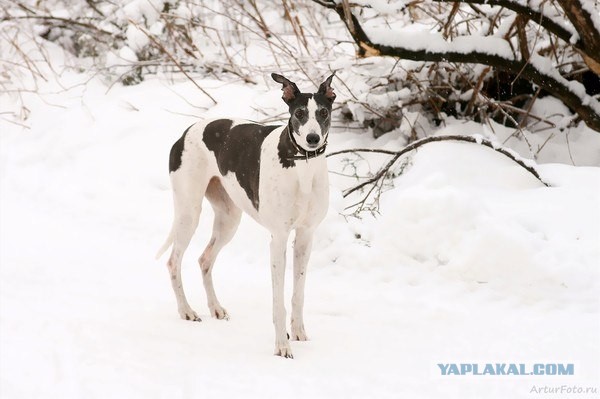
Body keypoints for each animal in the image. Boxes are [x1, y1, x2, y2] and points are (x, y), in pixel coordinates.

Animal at [156, 73, 338, 358]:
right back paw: (186, 310)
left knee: (204, 259)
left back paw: (215, 307)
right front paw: (282, 345)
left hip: (229, 219)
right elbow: (278, 300)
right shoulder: (278, 239)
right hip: (189, 212)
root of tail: (185, 133)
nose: (312, 139)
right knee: (174, 261)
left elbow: (297, 294)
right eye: (299, 113)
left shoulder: (305, 237)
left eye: (323, 112)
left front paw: (298, 332)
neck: (301, 165)